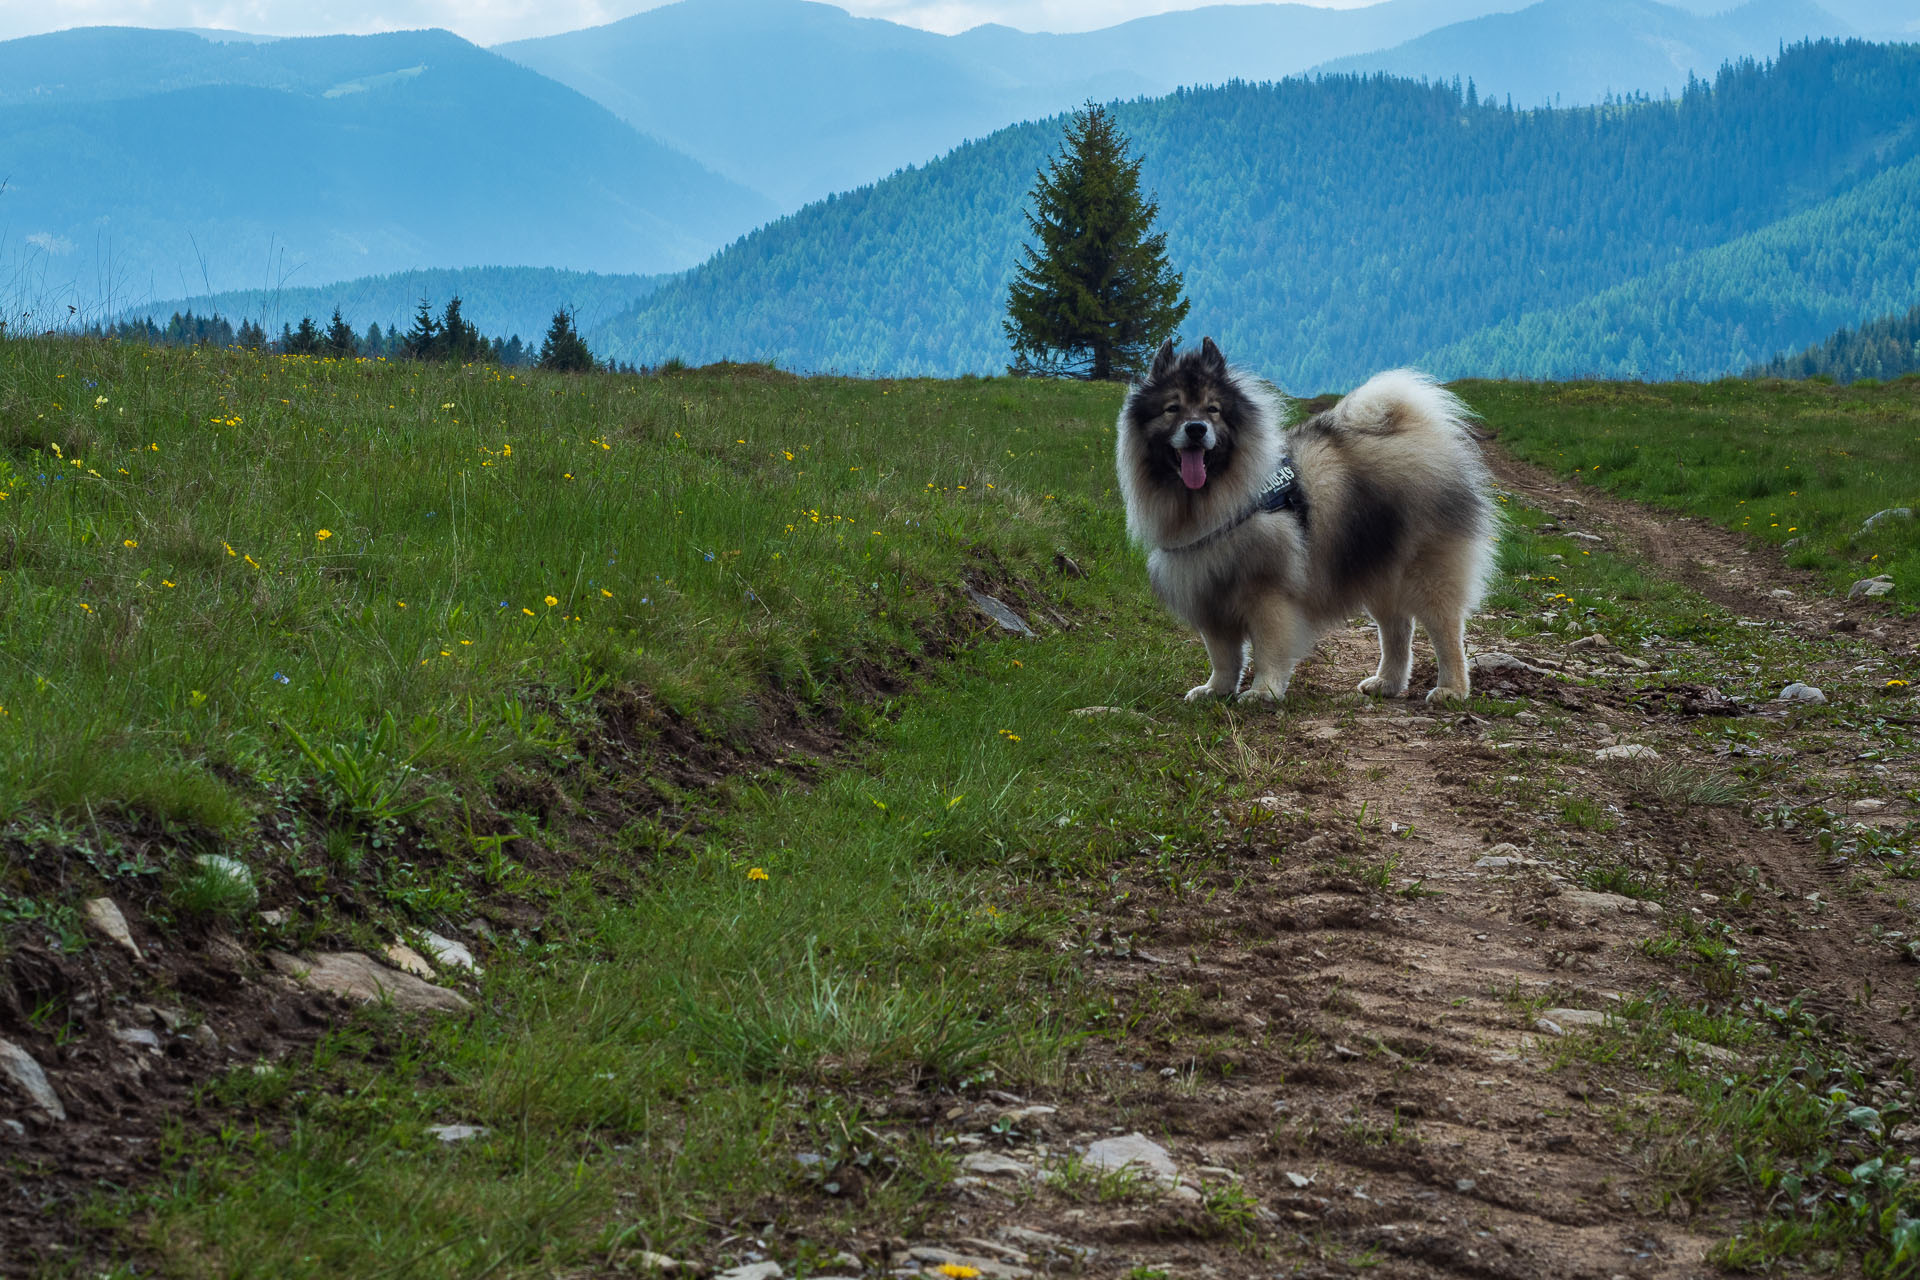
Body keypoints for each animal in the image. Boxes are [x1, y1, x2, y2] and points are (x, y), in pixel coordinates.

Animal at [1113, 335, 1497, 706]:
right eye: (1172, 408)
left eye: (1213, 410)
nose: (1196, 429)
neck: (1213, 501)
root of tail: (1418, 433)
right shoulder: (1209, 593)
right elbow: (1223, 657)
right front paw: (1216, 690)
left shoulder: (1267, 594)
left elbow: (1268, 649)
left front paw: (1263, 691)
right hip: (1378, 568)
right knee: (1397, 629)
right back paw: (1387, 683)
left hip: (1427, 571)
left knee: (1445, 631)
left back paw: (1451, 689)